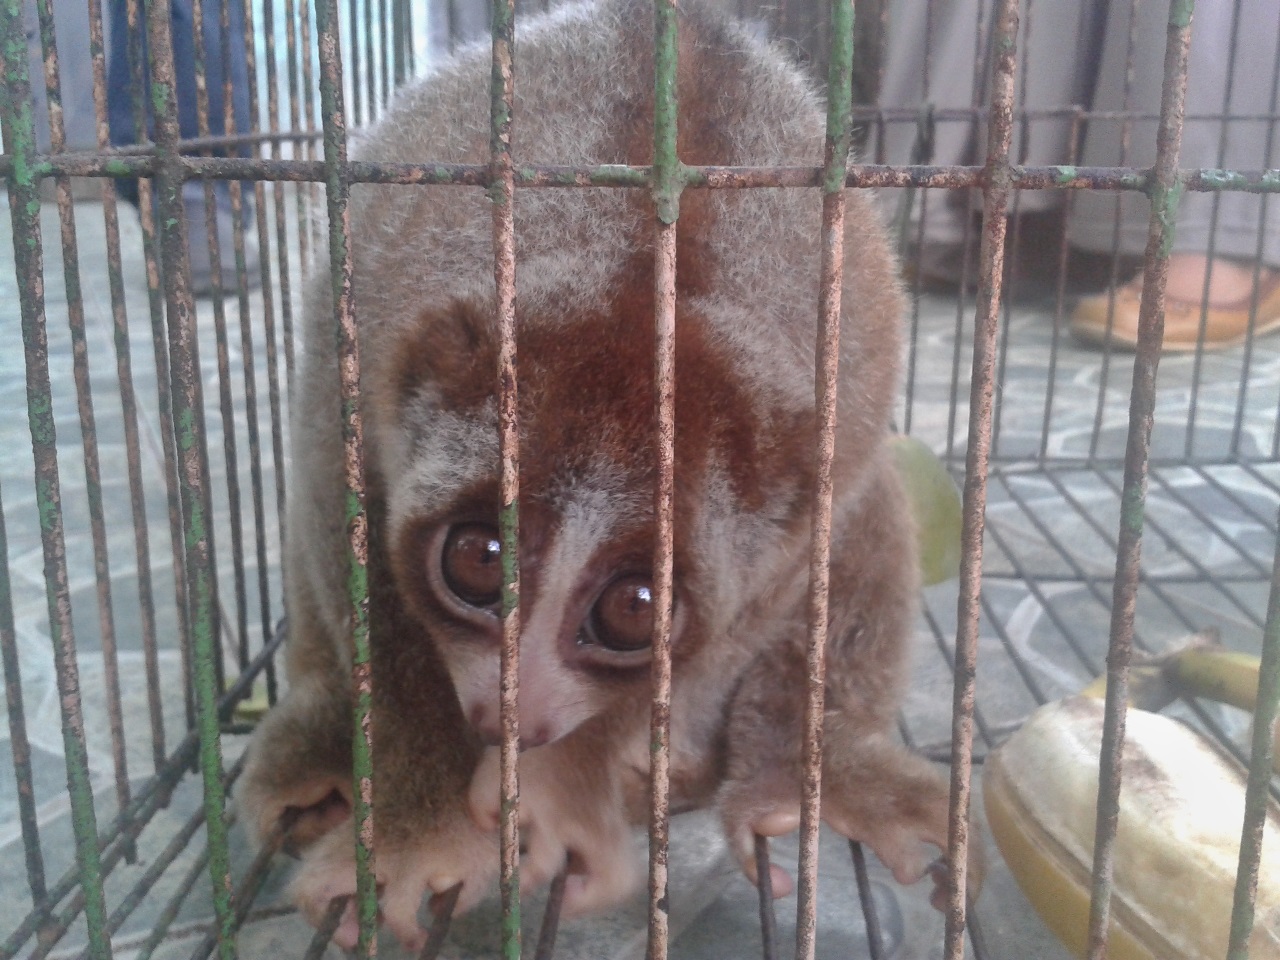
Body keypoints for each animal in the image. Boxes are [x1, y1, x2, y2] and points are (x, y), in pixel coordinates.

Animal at [236, 0, 976, 949]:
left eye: (635, 609)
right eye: (478, 559)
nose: (510, 720)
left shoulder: (823, 455)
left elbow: (740, 617)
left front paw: (564, 792)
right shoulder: (356, 348)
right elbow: (342, 519)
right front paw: (414, 829)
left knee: (869, 505)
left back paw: (810, 778)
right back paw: (313, 748)